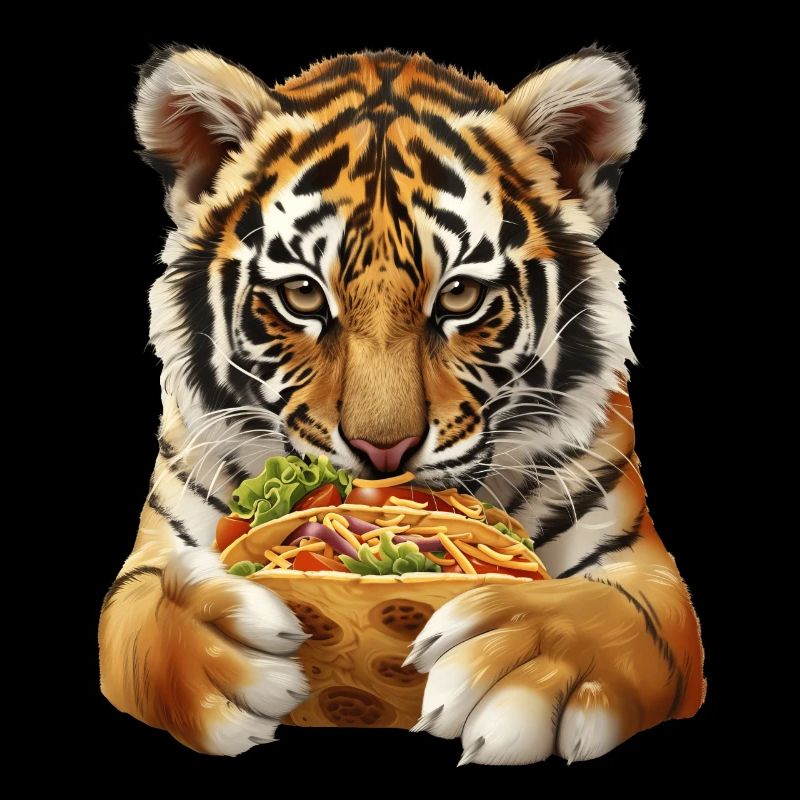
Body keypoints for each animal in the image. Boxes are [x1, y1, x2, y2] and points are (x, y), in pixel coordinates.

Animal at [98, 45, 705, 763]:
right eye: (303, 296)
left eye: (461, 296)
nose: (382, 451)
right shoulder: (155, 555)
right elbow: (142, 616)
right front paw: (229, 652)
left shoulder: (641, 566)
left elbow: (619, 619)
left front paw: (521, 662)